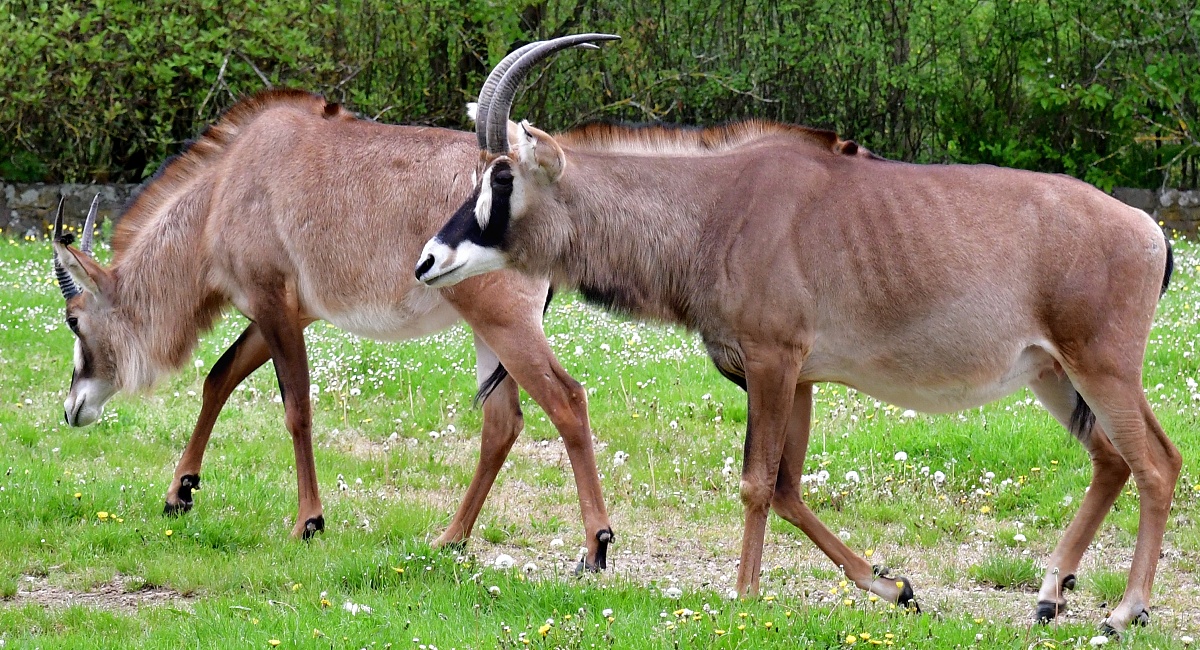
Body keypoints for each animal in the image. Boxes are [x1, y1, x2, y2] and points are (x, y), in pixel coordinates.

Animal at [49, 89, 619, 568]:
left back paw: (596, 545)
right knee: (502, 422)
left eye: (73, 319)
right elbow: (218, 378)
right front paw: (180, 492)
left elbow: (296, 409)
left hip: (506, 323)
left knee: (567, 400)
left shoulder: (273, 305)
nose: (73, 408)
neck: (222, 190)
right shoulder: (282, 313)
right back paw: (450, 538)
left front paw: (308, 522)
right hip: (487, 332)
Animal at [420, 36, 1180, 638]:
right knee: (1113, 460)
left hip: (1103, 367)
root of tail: (1150, 231)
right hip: (1055, 375)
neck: (711, 208)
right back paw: (1050, 596)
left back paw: (1125, 612)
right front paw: (891, 586)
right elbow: (788, 487)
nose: (428, 261)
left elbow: (757, 482)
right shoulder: (802, 377)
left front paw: (744, 593)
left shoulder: (772, 361)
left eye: (503, 177)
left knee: (1156, 463)